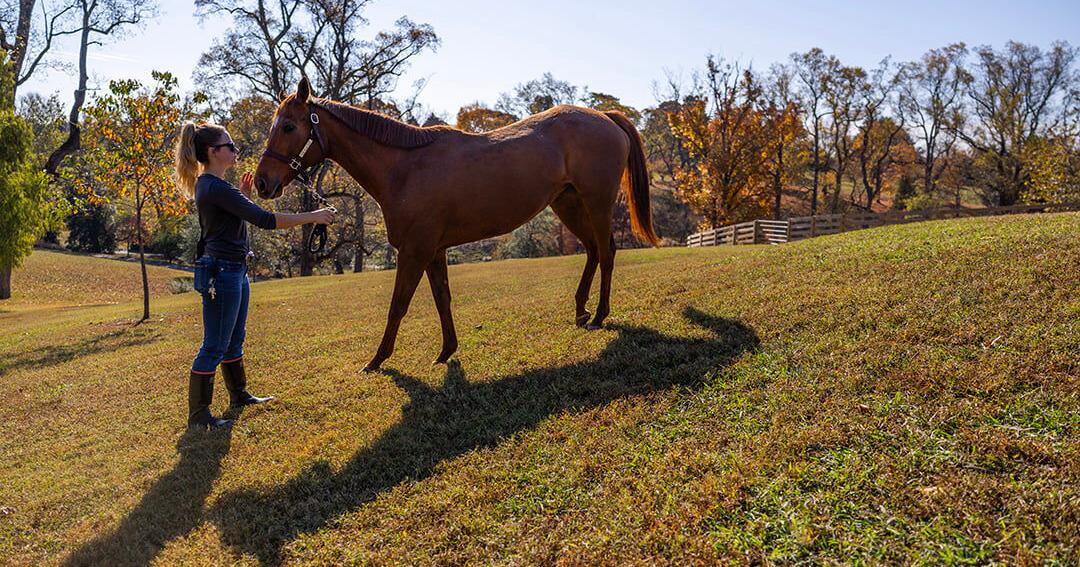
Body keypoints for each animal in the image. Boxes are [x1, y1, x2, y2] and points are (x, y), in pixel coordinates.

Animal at [254, 78, 656, 371]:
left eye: (288, 126)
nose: (261, 182)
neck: (406, 167)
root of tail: (604, 117)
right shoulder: (434, 252)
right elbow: (442, 300)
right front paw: (447, 351)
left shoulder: (415, 252)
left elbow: (398, 305)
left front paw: (377, 360)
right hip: (568, 204)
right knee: (592, 251)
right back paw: (581, 310)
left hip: (597, 203)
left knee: (607, 252)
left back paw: (600, 315)